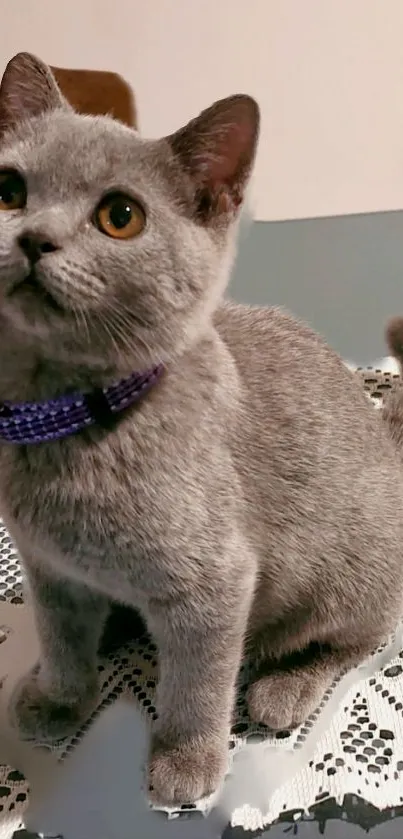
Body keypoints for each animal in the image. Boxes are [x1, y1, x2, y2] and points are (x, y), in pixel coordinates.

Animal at [0, 50, 403, 808]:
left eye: (120, 217)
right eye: (9, 188)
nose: (33, 238)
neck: (66, 417)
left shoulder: (215, 583)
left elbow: (197, 683)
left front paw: (185, 763)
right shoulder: (49, 570)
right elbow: (60, 636)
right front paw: (61, 696)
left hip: (352, 571)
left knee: (360, 636)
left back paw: (283, 686)